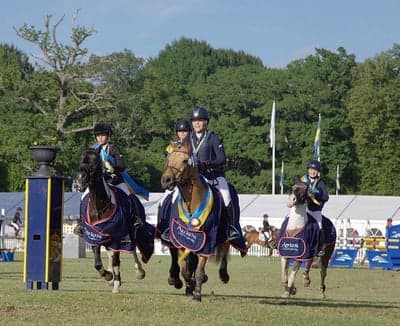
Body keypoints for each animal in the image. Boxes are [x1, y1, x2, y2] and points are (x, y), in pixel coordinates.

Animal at [78, 148, 155, 292]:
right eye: (81, 159)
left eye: (95, 161)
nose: (80, 179)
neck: (100, 206)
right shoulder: (95, 236)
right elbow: (98, 263)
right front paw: (109, 276)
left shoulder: (118, 237)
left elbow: (117, 261)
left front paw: (116, 283)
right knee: (111, 254)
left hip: (131, 231)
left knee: (132, 249)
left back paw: (139, 272)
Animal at [157, 139, 245, 302]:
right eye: (168, 158)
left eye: (185, 161)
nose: (166, 180)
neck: (192, 203)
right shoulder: (181, 237)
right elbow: (186, 269)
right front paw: (189, 285)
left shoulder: (207, 238)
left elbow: (199, 269)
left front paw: (197, 294)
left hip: (226, 233)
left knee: (225, 247)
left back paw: (223, 275)